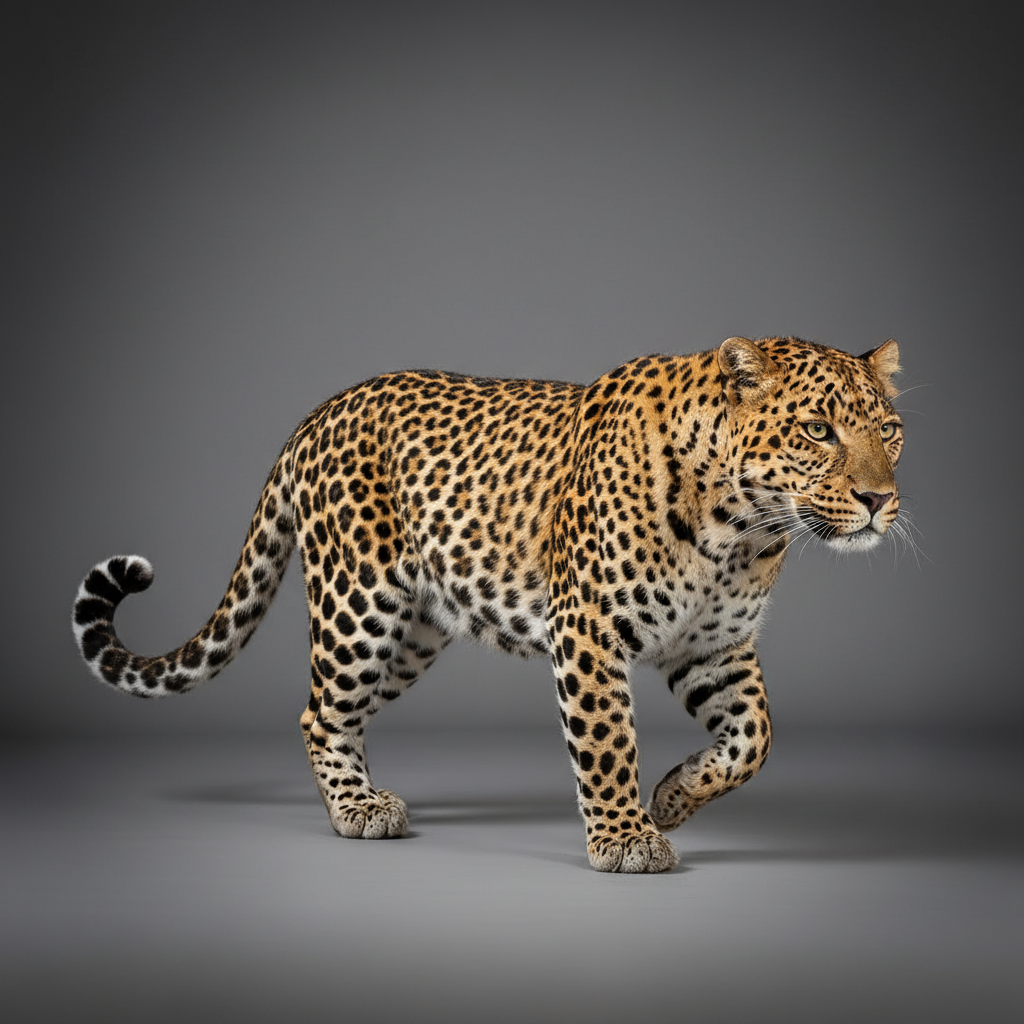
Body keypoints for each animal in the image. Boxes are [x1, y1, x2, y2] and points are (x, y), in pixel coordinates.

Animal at [72, 335, 905, 873]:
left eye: (891, 431)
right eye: (818, 430)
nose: (879, 500)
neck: (744, 530)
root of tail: (318, 413)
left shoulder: (714, 648)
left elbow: (754, 738)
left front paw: (671, 798)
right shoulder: (590, 632)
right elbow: (608, 740)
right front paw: (626, 837)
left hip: (414, 630)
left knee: (343, 706)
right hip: (358, 604)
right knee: (321, 708)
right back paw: (356, 809)